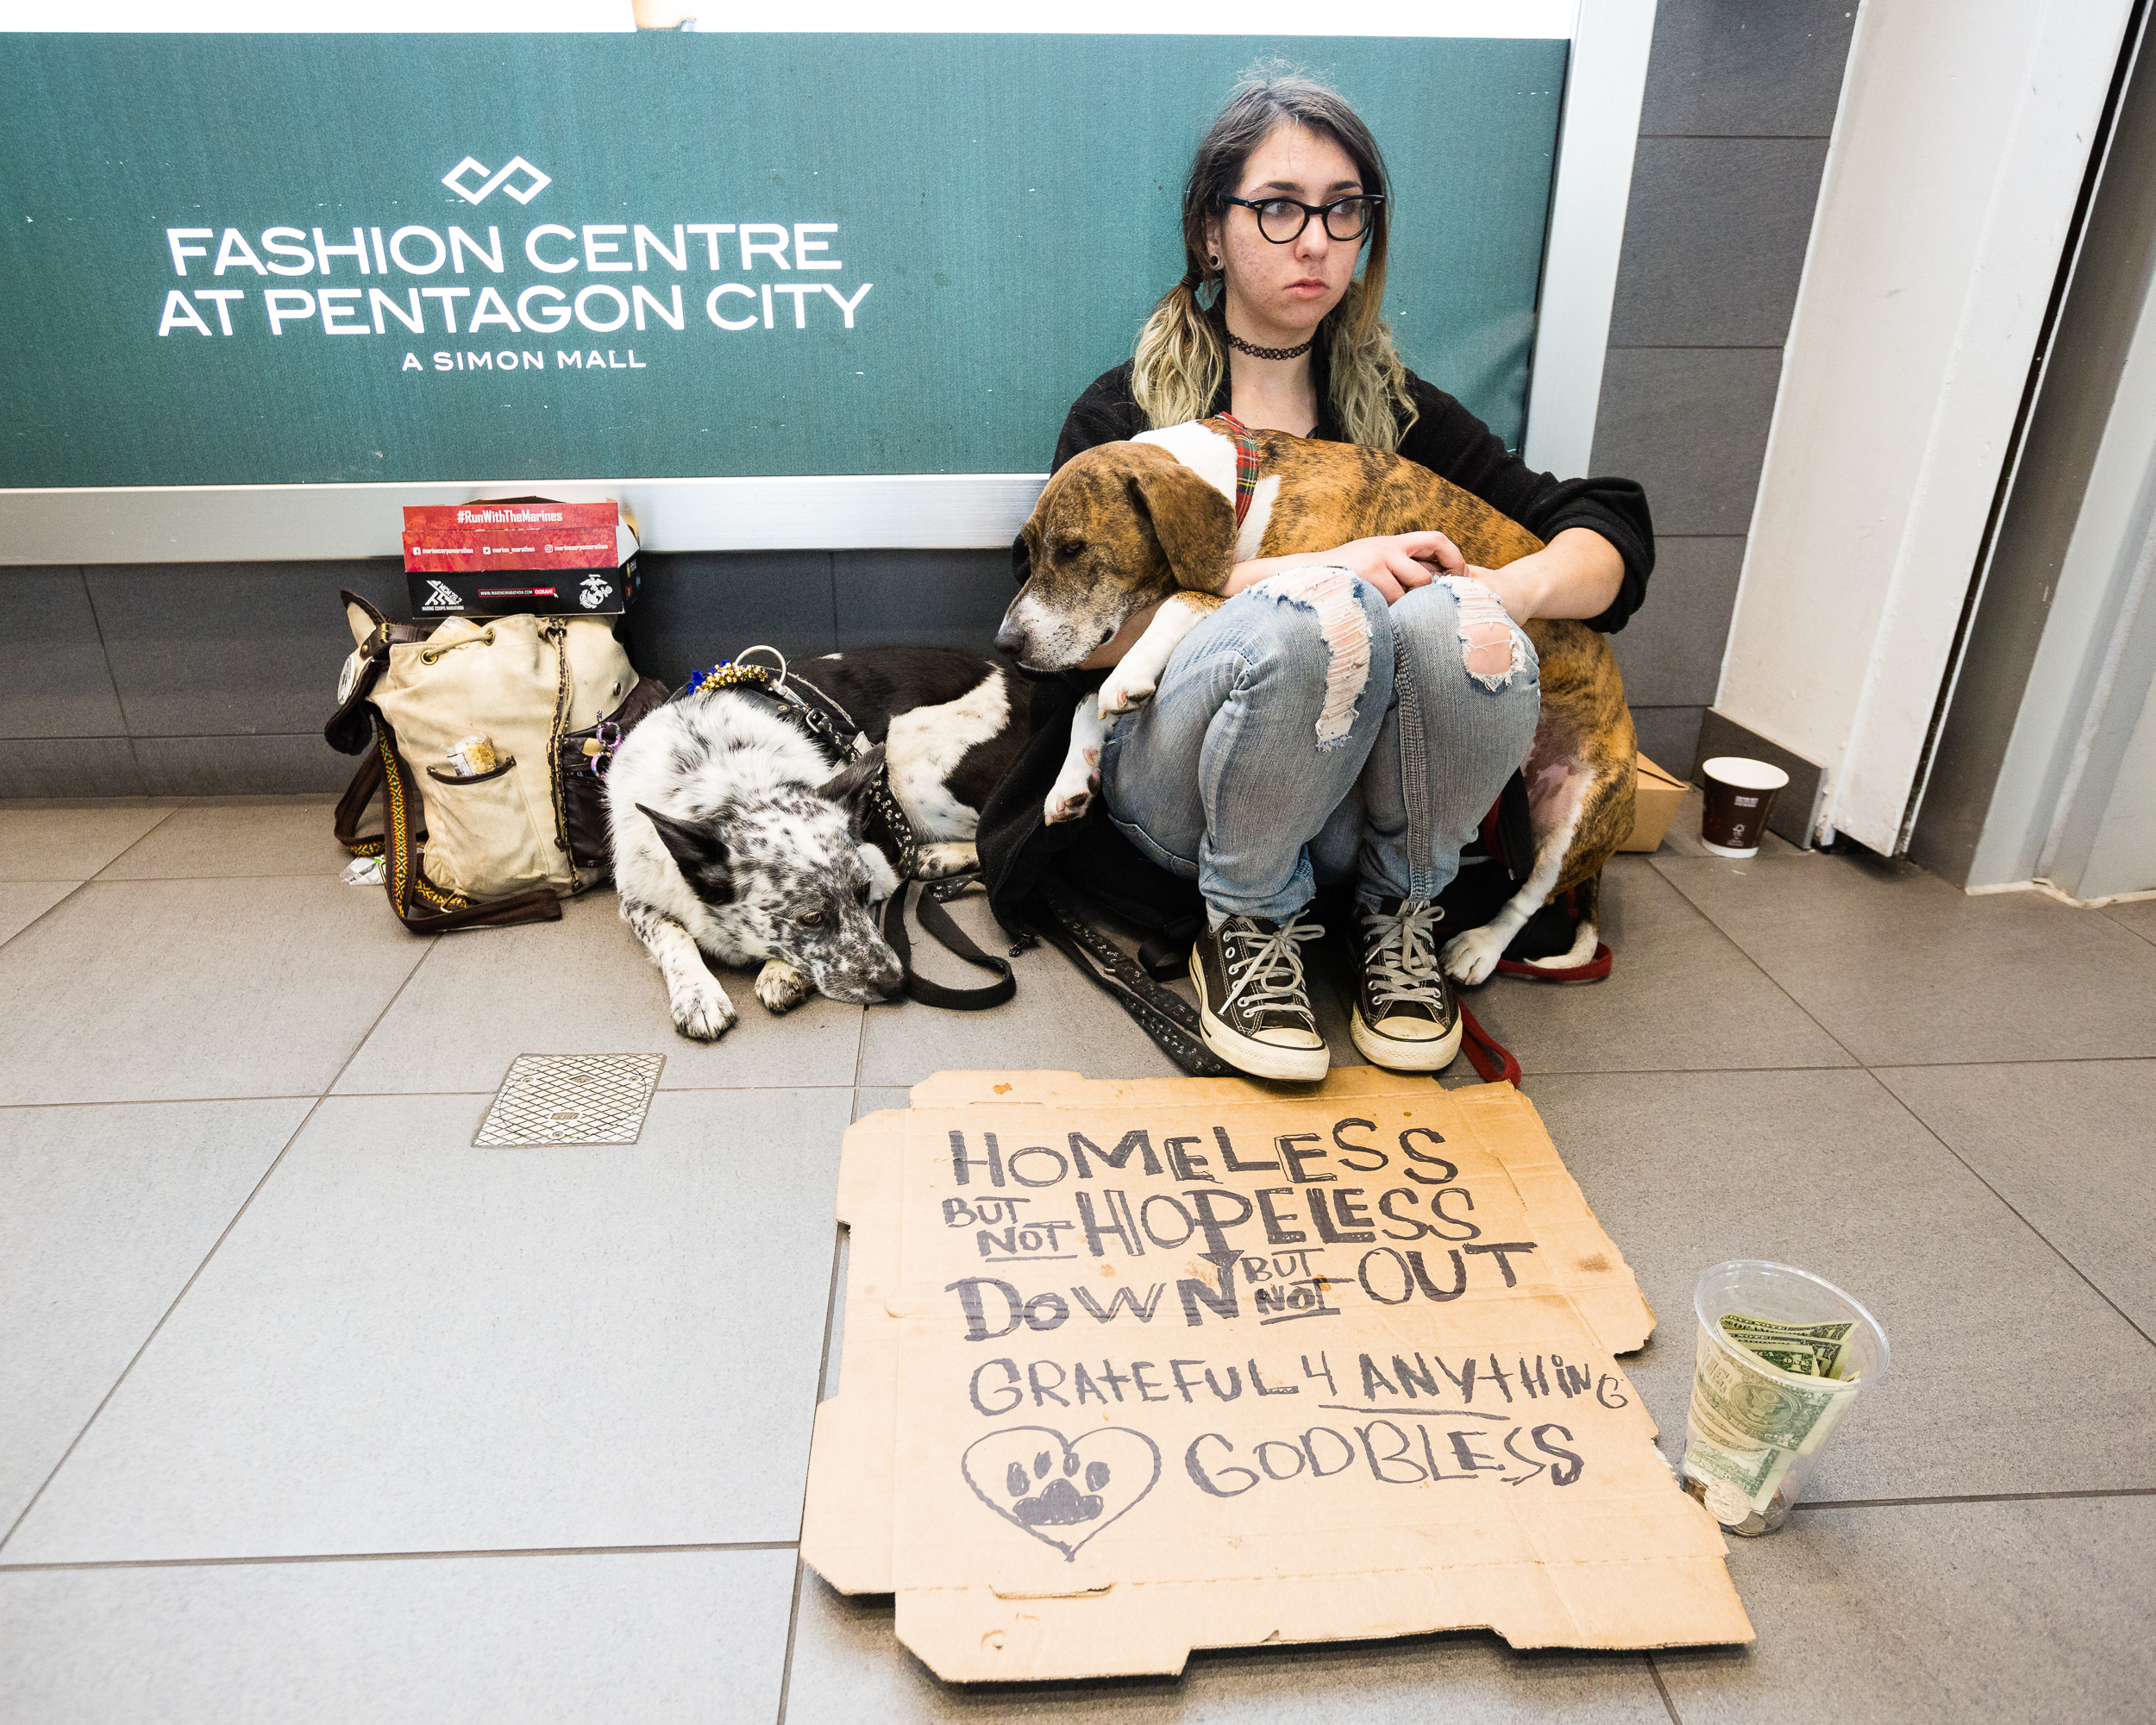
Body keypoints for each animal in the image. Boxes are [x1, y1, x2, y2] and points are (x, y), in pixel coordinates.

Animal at [608, 651, 1026, 1039]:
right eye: (811, 918)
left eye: (864, 893)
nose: (898, 982)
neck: (722, 777)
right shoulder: (634, 897)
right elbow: (674, 935)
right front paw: (697, 994)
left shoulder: (880, 861)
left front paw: (782, 971)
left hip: (909, 760)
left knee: (995, 832)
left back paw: (939, 856)